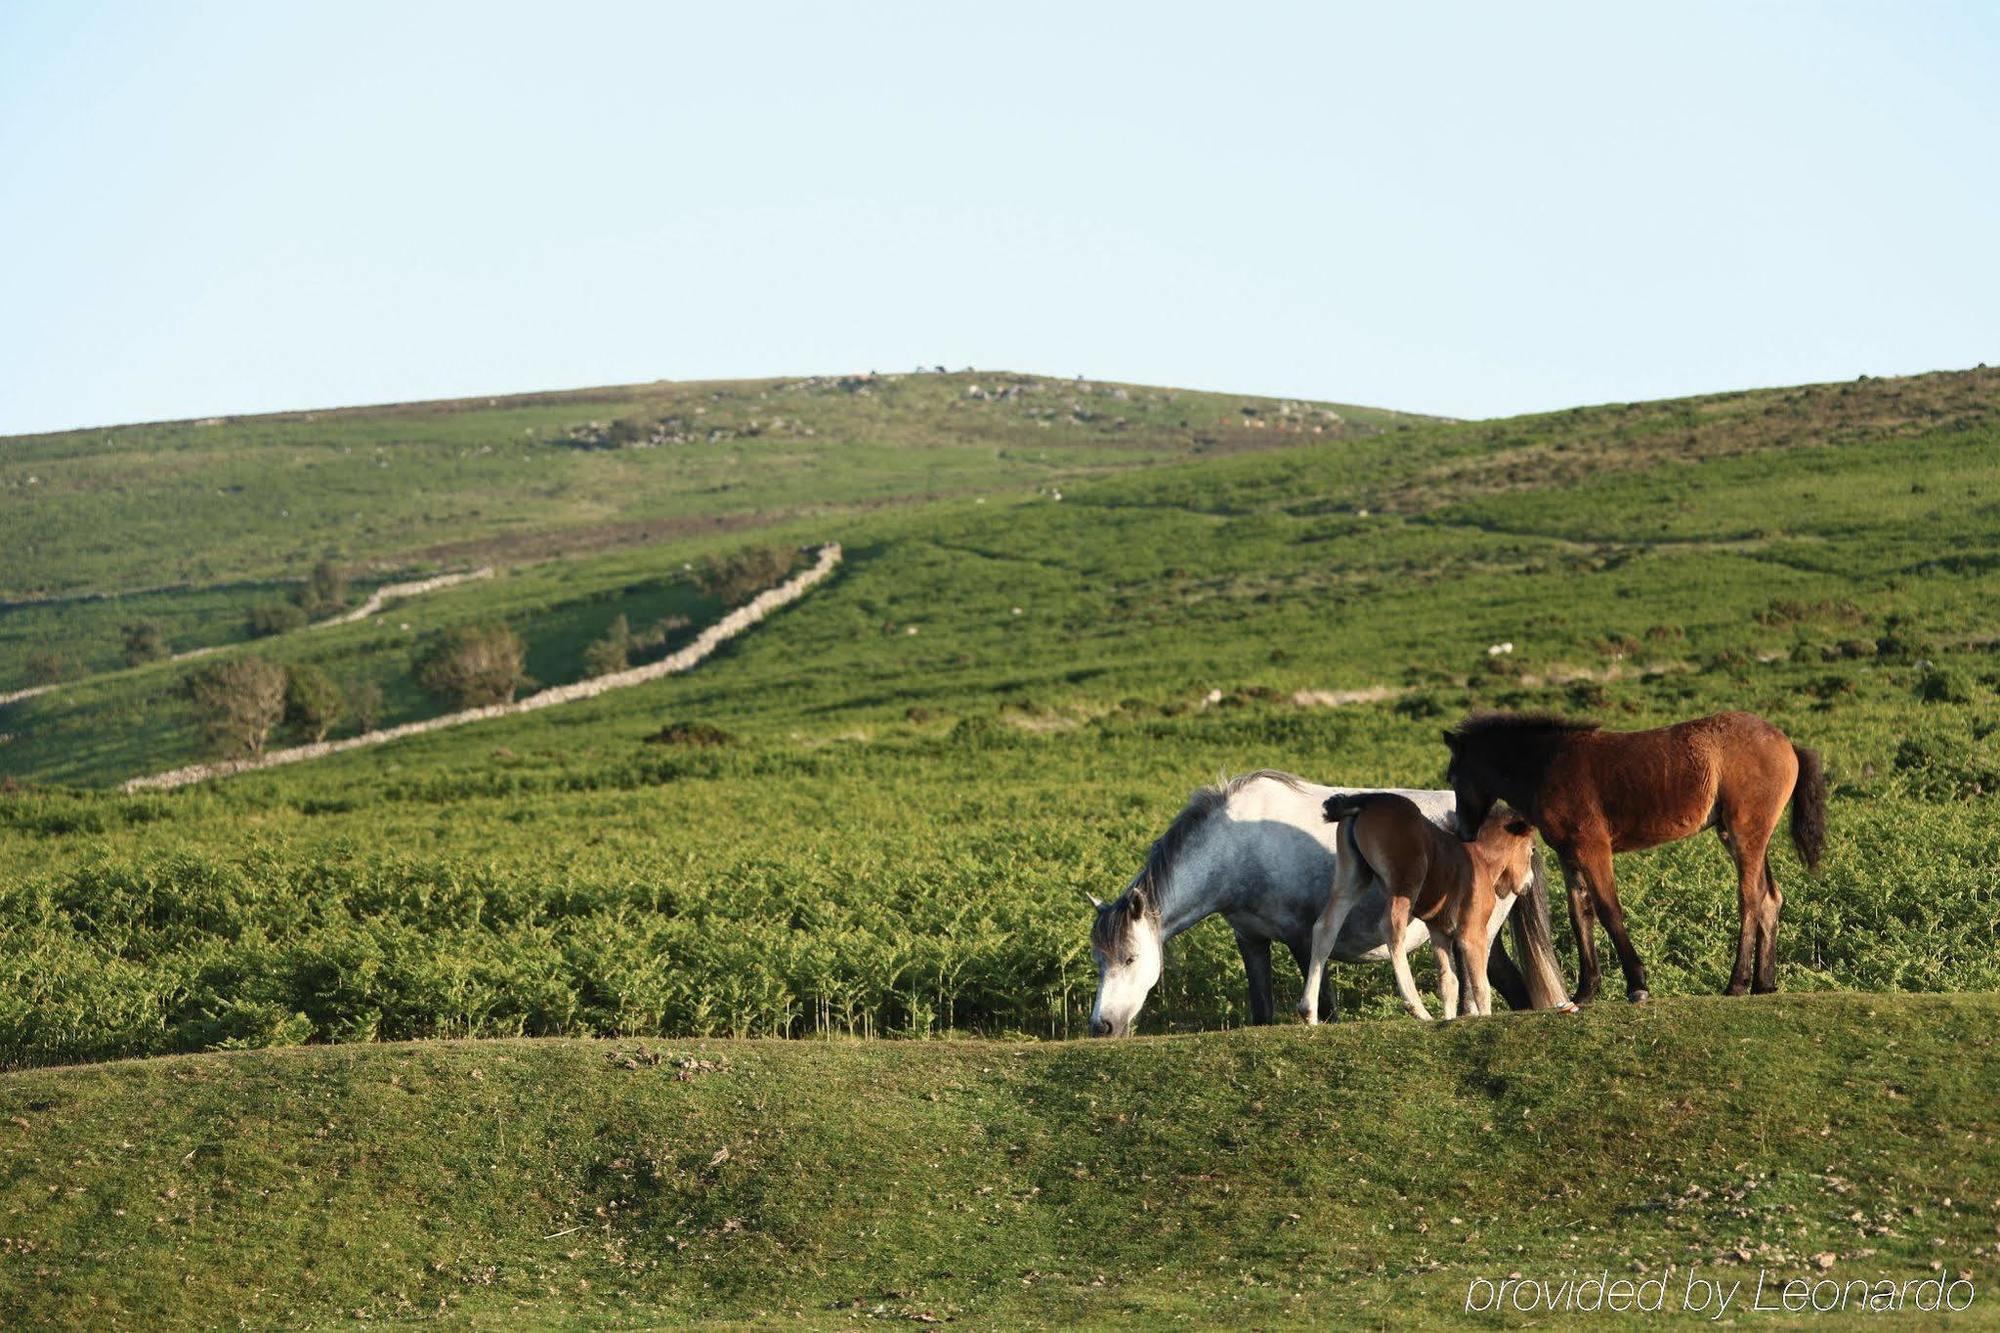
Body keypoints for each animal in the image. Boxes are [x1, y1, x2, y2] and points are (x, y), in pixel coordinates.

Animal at [1304, 788, 1536, 1016]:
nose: (1529, 883)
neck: (1480, 860)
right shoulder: (1472, 931)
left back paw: (1308, 1012)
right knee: (1391, 927)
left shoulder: (1439, 931)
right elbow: (1480, 985)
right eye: (1532, 849)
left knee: (1325, 928)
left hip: (1353, 878)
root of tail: (1369, 801)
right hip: (1407, 883)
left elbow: (1448, 982)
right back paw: (1417, 1007)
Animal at [1440, 704, 1832, 996]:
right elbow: (1580, 914)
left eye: (1453, 776)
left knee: (1750, 897)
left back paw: (1737, 983)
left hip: (1745, 832)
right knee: (1770, 898)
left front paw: (1637, 984)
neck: (1545, 764)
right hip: (1742, 835)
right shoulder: (1569, 855)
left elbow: (1608, 909)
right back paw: (1764, 984)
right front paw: (1587, 991)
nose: (1463, 831)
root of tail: (1788, 744)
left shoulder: (1594, 848)